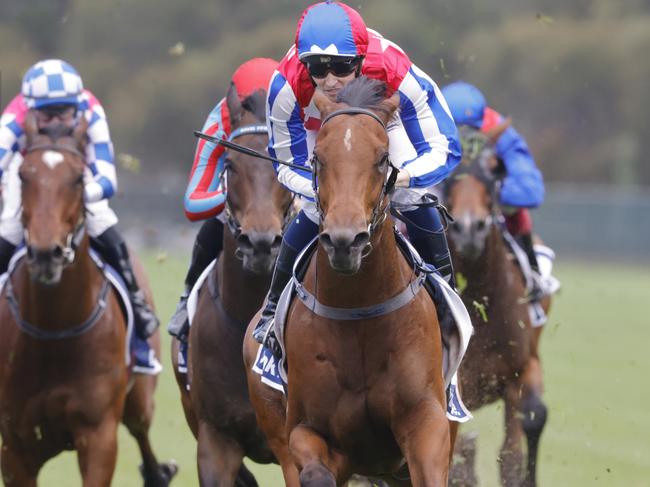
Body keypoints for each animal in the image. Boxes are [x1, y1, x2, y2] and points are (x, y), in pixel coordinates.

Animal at [0, 113, 176, 484]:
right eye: (23, 175)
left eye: (78, 179)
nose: (46, 254)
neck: (53, 329)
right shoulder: (15, 446)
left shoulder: (98, 436)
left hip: (140, 398)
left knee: (141, 430)